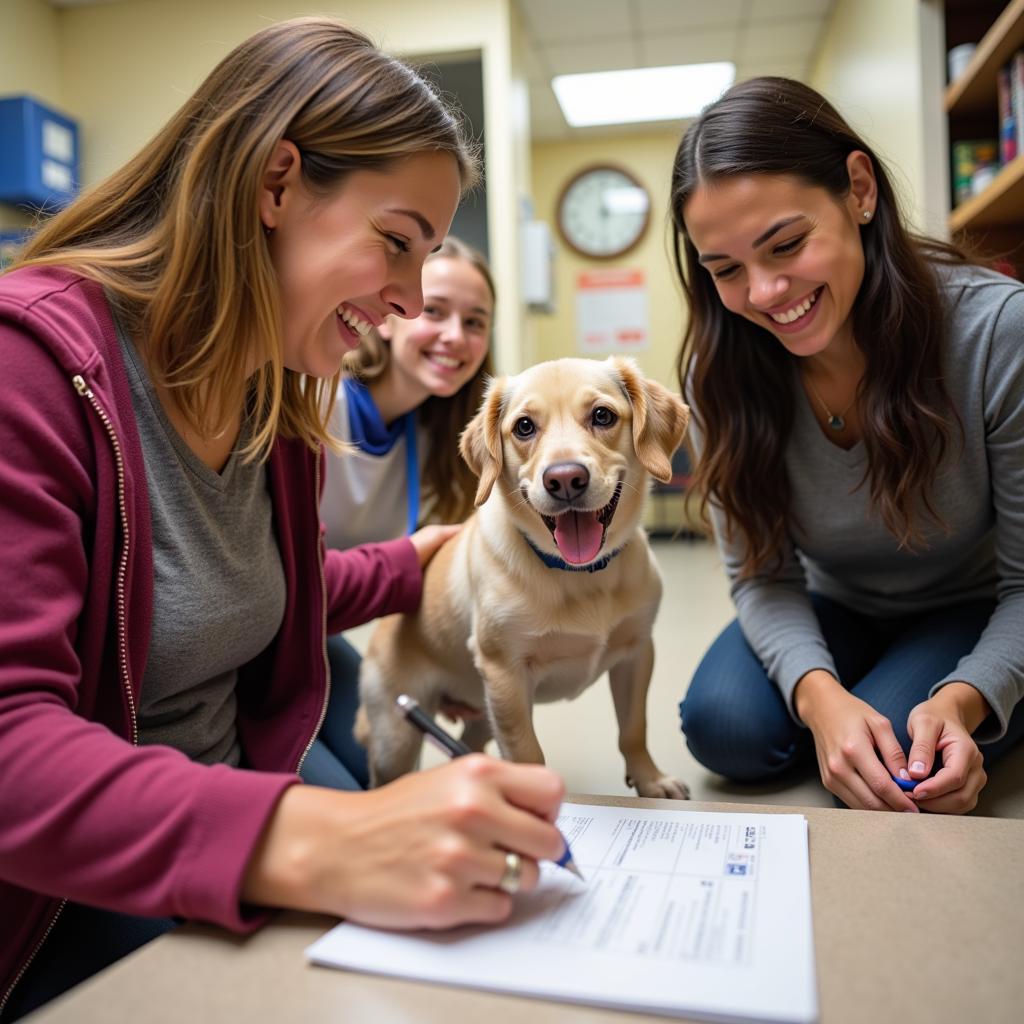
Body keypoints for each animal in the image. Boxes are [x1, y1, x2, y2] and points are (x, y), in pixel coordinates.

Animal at [356, 358, 692, 798]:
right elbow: (526, 752)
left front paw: (650, 780)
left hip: (482, 714)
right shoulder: (506, 677)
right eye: (524, 427)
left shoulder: (637, 653)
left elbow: (633, 729)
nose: (565, 479)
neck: (579, 576)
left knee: (469, 746)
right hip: (397, 738)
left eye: (602, 416)